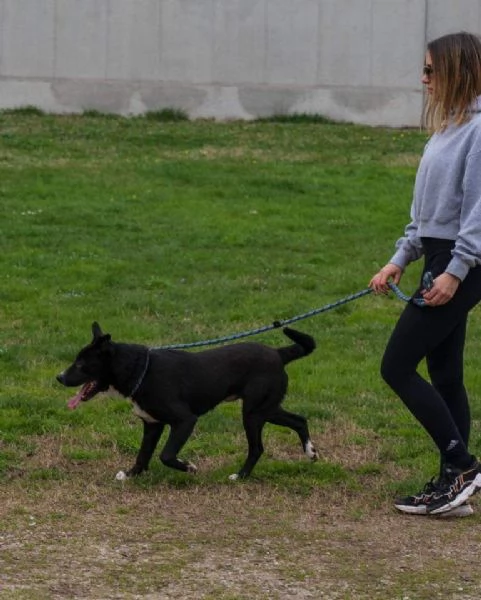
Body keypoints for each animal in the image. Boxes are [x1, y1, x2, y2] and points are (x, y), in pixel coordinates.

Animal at [56, 322, 316, 480]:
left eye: (81, 364)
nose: (59, 377)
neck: (141, 370)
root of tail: (278, 353)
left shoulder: (185, 420)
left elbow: (166, 455)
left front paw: (188, 466)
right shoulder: (152, 424)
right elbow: (143, 454)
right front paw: (131, 474)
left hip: (253, 413)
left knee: (258, 448)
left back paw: (240, 476)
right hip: (267, 408)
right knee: (299, 420)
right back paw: (311, 452)